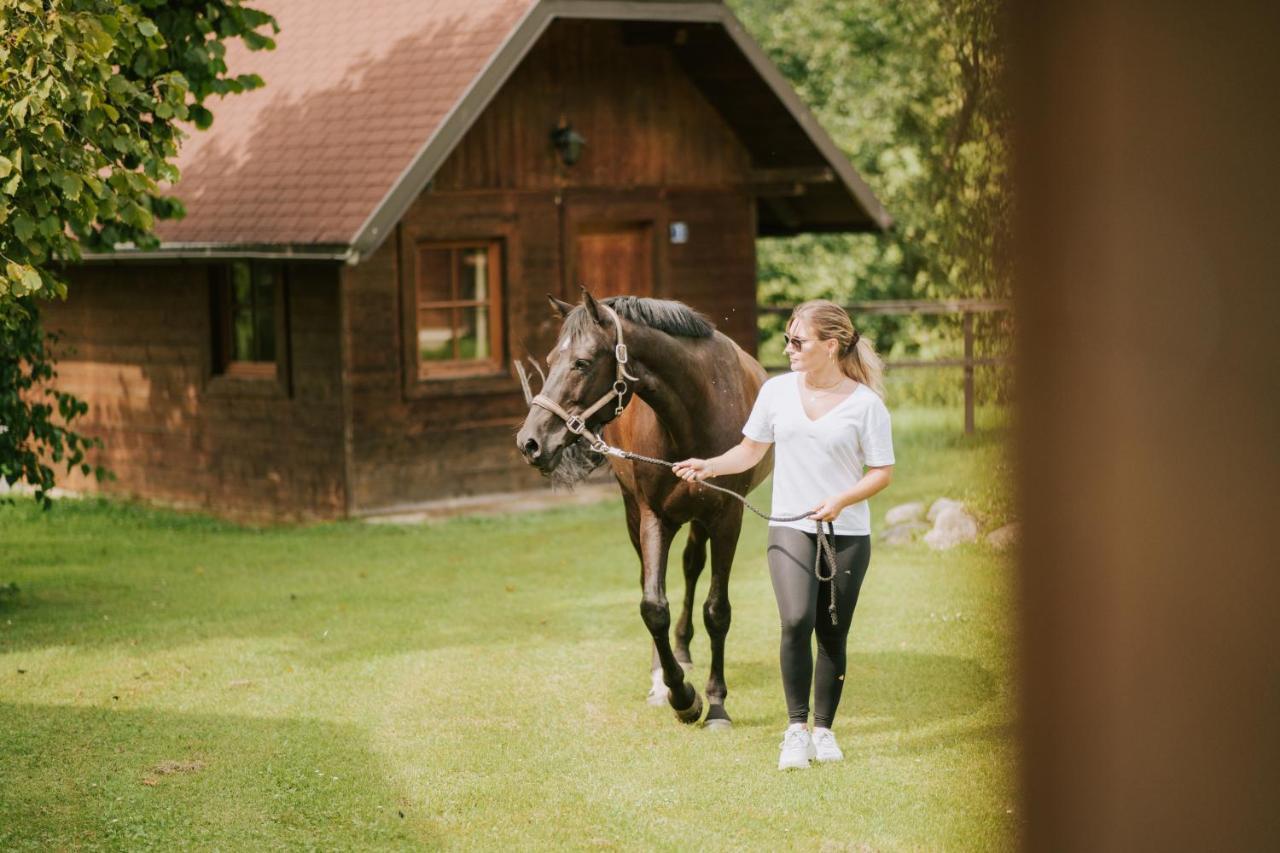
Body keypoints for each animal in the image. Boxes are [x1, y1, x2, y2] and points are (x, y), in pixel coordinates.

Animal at [512, 289, 768, 722]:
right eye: (548, 360)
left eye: (581, 363)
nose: (530, 443)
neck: (699, 407)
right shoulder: (654, 517)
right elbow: (653, 606)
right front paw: (681, 695)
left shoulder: (727, 518)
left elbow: (717, 611)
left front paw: (716, 704)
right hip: (637, 513)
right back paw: (665, 674)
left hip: (700, 520)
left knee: (692, 565)